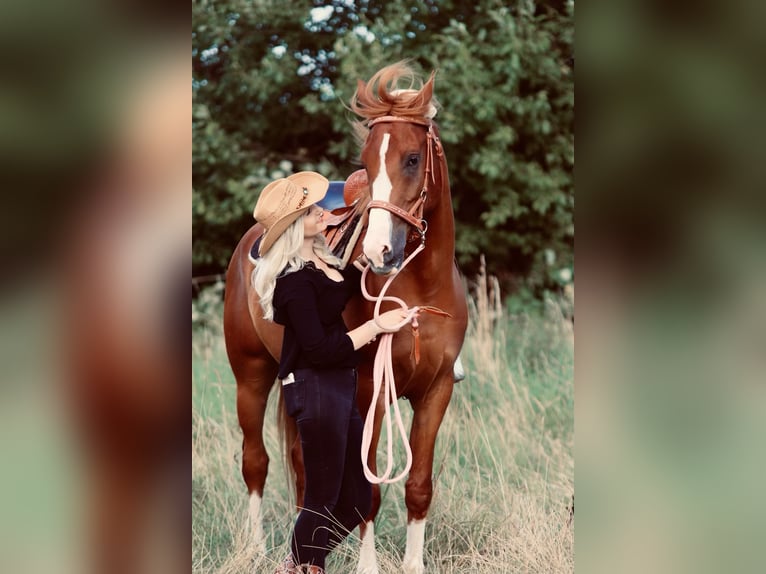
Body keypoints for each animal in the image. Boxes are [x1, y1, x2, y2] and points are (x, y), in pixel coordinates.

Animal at [219, 62, 464, 574]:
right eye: (367, 164)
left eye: (413, 159)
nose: (379, 252)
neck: (422, 288)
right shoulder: (369, 392)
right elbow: (366, 493)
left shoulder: (437, 392)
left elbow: (418, 487)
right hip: (250, 376)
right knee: (256, 462)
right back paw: (254, 550)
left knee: (304, 469)